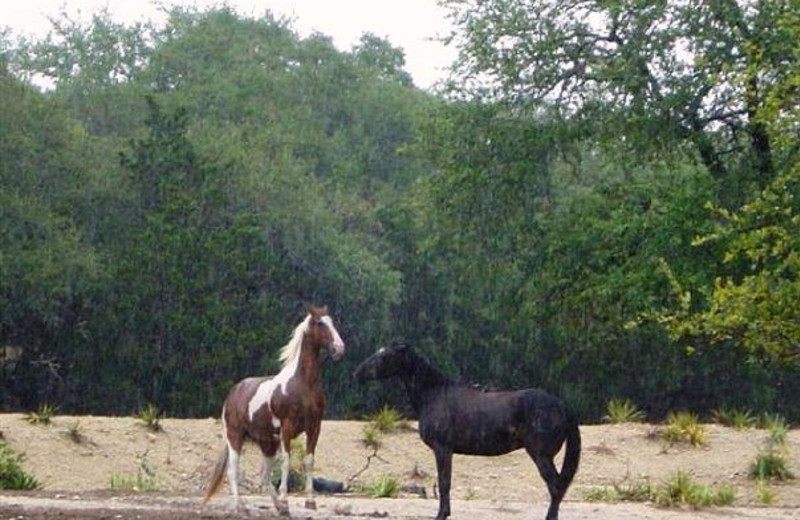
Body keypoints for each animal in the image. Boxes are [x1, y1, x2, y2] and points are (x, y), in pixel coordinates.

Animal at [203, 306, 344, 512]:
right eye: (320, 323)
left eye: (332, 322)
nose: (339, 349)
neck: (303, 385)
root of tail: (233, 393)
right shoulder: (287, 428)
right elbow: (286, 462)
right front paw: (286, 500)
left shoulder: (314, 427)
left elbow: (309, 461)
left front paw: (310, 502)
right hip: (235, 436)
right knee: (233, 470)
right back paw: (240, 506)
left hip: (267, 444)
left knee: (264, 475)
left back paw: (277, 506)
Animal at [354, 346, 580, 520]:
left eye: (383, 357)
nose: (357, 373)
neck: (435, 395)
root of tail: (561, 405)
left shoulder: (443, 449)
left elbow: (444, 482)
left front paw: (441, 514)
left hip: (541, 455)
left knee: (555, 487)